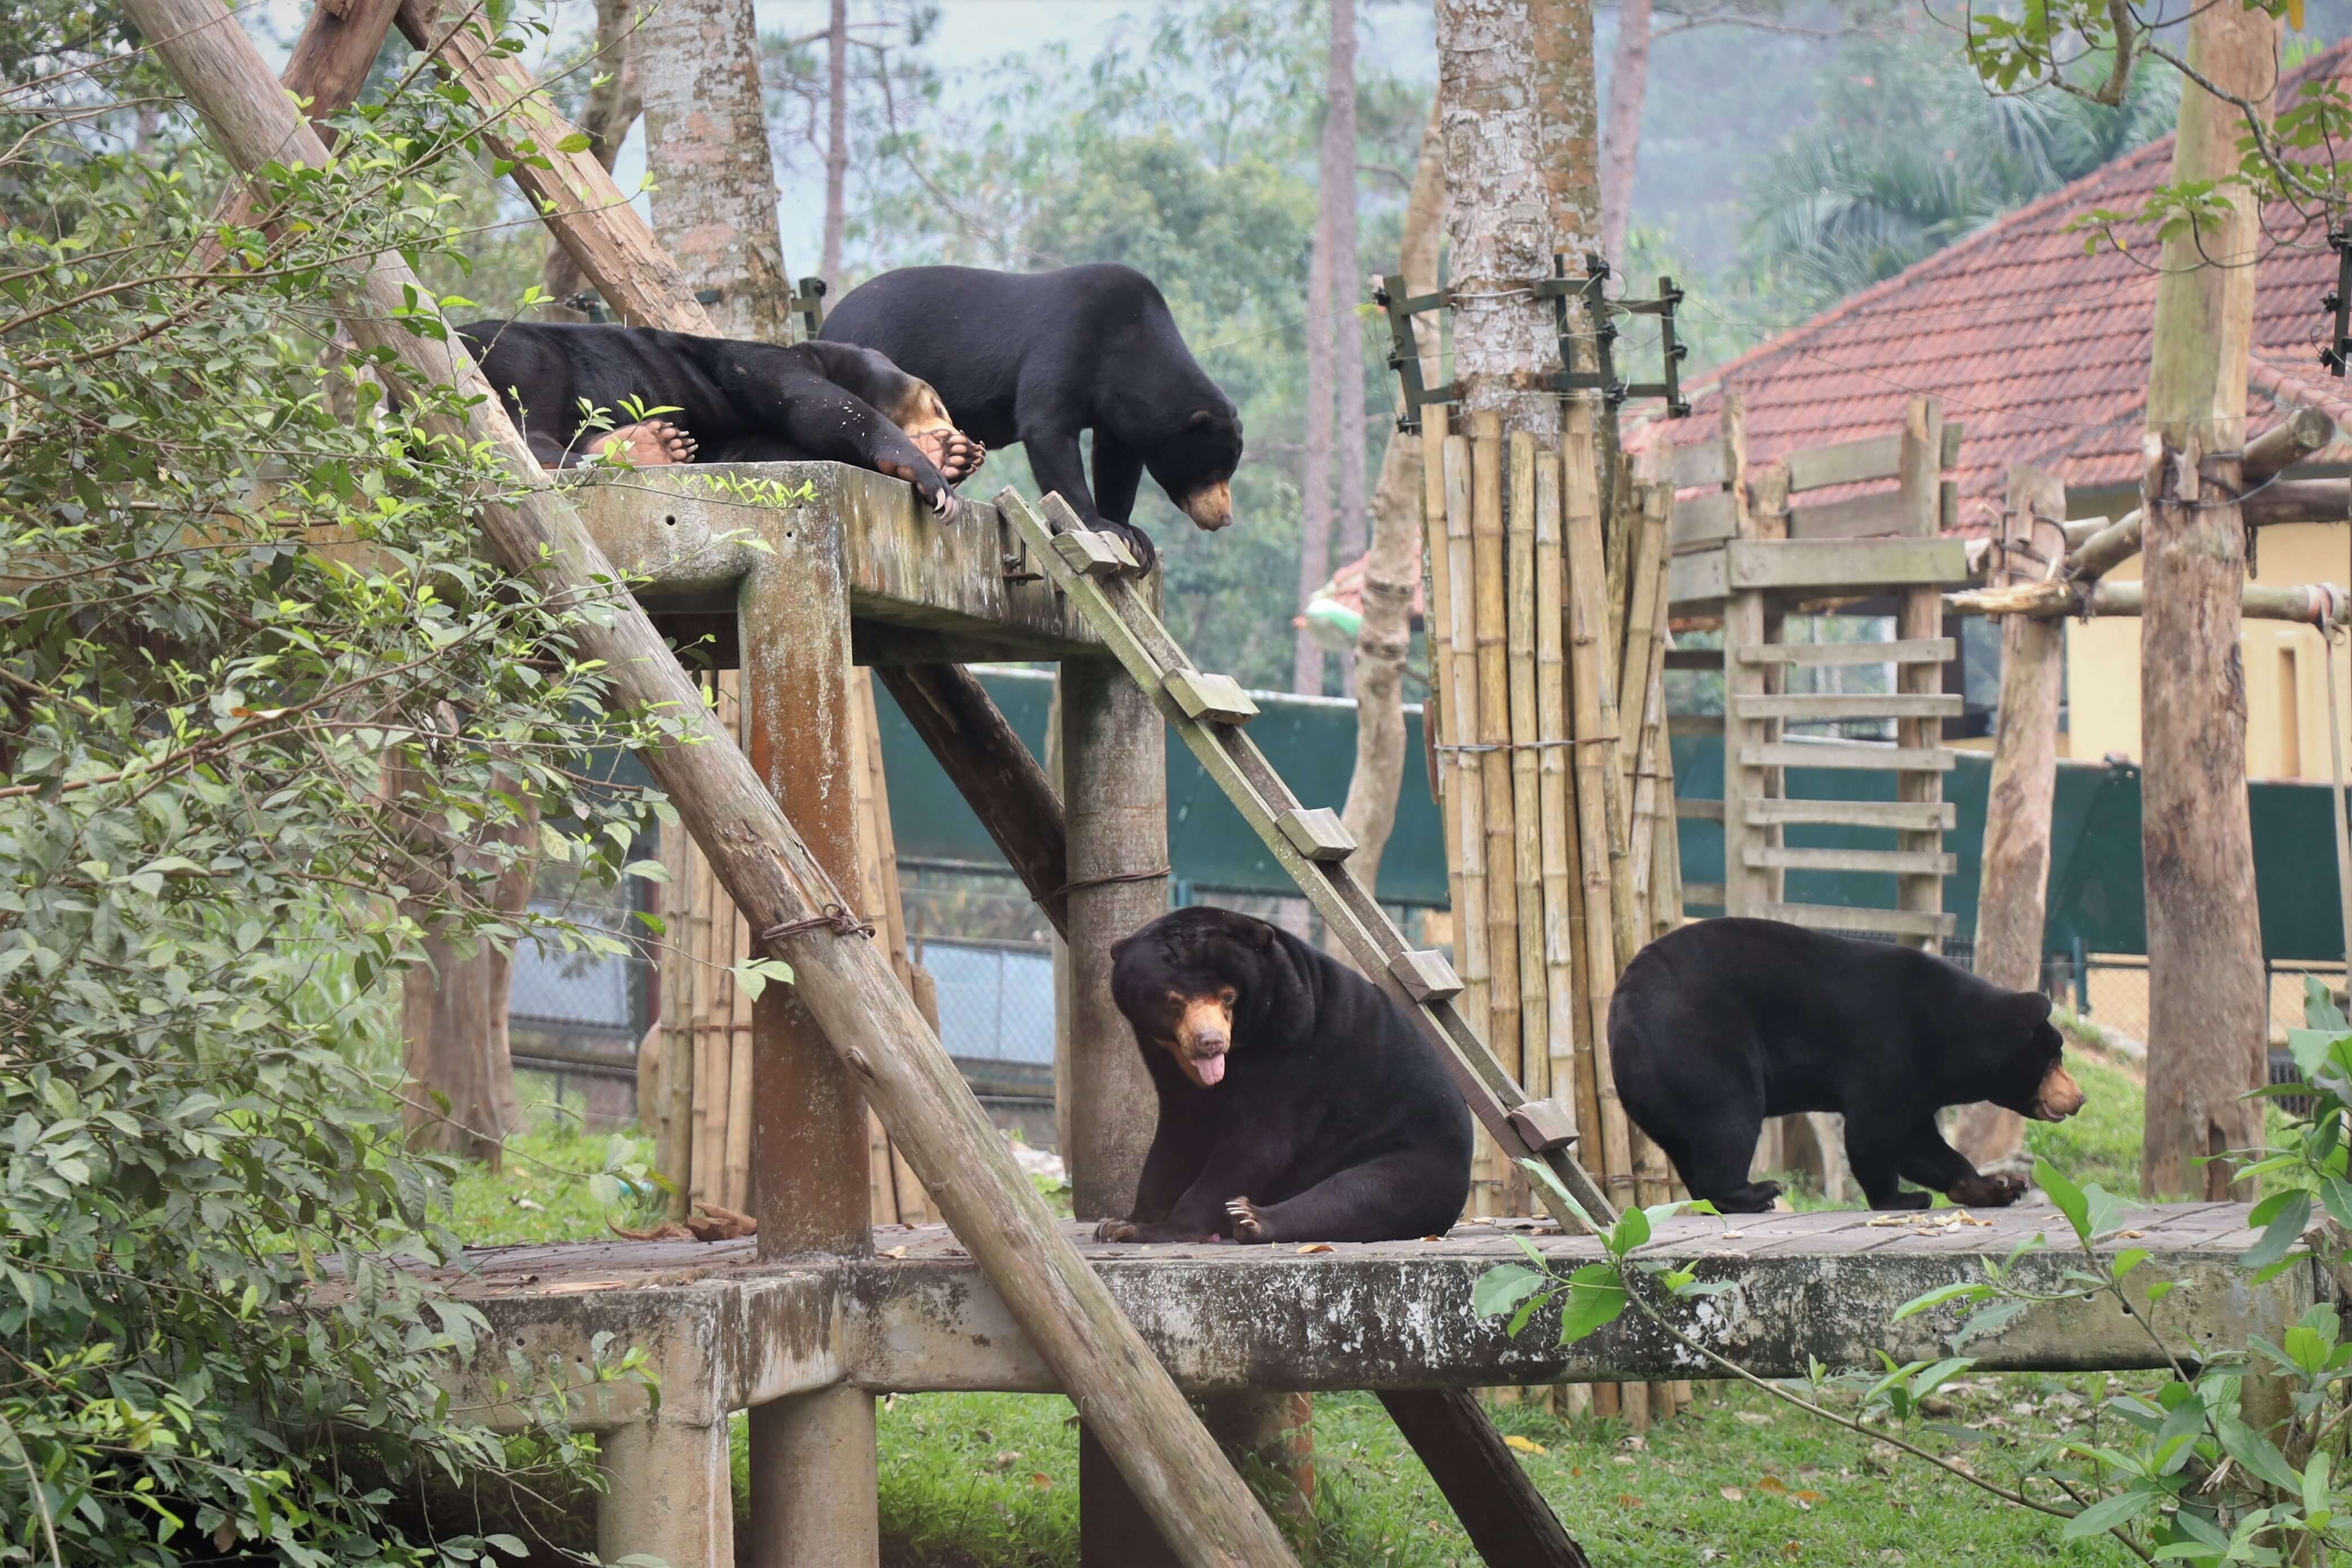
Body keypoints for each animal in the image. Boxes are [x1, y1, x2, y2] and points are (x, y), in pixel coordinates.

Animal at [458, 317, 983, 512]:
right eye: (938, 403)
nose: (957, 430)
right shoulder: (761, 364)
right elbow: (817, 405)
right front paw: (932, 473)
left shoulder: (747, 438)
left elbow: (770, 449)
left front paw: (955, 455)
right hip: (512, 349)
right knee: (530, 406)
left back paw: (654, 445)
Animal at [813, 261, 1241, 573]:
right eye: (1211, 472)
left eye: (1227, 472)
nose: (1223, 517)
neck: (1133, 347)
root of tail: (827, 321)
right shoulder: (1068, 344)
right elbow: (1047, 429)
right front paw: (1101, 526)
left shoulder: (1119, 408)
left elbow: (1117, 460)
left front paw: (1135, 536)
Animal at [1086, 902, 1467, 1241]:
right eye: (1173, 1001)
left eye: (1228, 997)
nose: (1210, 1043)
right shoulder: (1168, 1065)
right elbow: (1178, 1136)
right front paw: (1123, 1223)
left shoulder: (1292, 1050)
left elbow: (1258, 1144)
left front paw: (1164, 1229)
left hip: (1413, 1159)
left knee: (1357, 1196)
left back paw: (1250, 1219)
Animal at [1609, 921, 2088, 1213]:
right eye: (2055, 1058)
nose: (2079, 1098)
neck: (1952, 1033)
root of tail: (1620, 1006)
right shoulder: (1890, 1046)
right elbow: (1873, 1132)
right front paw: (1902, 1198)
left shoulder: (1922, 1079)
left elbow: (1917, 1140)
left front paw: (2001, 1186)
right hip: (1699, 1043)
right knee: (1728, 1118)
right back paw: (1756, 1191)